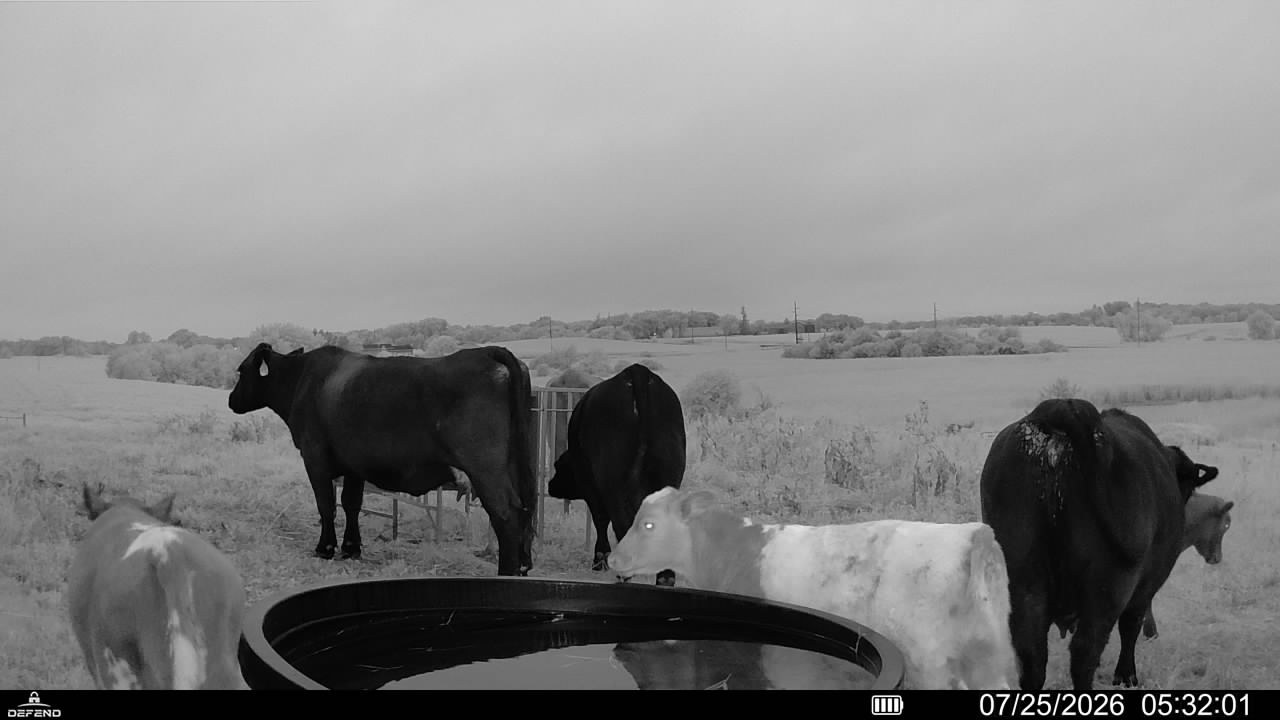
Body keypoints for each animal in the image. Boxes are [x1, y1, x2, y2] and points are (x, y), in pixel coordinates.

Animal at [228, 343, 536, 576]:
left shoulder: (314, 457)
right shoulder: (353, 465)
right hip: (511, 466)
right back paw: (521, 568)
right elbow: (351, 504)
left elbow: (326, 504)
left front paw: (325, 548)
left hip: (485, 468)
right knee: (523, 511)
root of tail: (486, 352)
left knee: (506, 514)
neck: (302, 379)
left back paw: (506, 572)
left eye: (240, 370)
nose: (231, 400)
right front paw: (351, 548)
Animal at [547, 363, 686, 586]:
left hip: (612, 484)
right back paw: (665, 576)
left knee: (619, 522)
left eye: (558, 465)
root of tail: (637, 372)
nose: (551, 485)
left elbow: (600, 519)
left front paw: (599, 561)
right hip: (669, 475)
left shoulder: (592, 488)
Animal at [607, 487, 1018, 690]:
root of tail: (973, 535)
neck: (734, 550)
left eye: (648, 525)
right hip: (990, 660)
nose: (612, 559)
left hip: (931, 662)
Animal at [979, 399, 1218, 690]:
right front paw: (1126, 676)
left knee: (1032, 656)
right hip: (1109, 583)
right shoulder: (1145, 585)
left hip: (1023, 579)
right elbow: (1131, 626)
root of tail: (1061, 409)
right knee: (1085, 651)